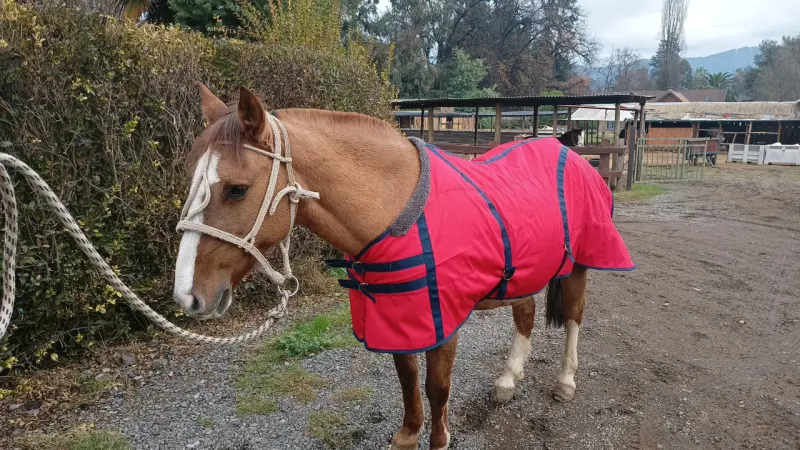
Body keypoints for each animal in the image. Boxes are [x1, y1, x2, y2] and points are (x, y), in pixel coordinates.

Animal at [173, 84, 634, 450]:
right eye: (191, 177)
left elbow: (436, 387)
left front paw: (438, 440)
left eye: (237, 189)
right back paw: (507, 380)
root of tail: (569, 150)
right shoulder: (396, 316)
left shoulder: (441, 319)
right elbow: (407, 379)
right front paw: (409, 435)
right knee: (525, 313)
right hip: (522, 272)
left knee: (573, 317)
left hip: (580, 267)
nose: (186, 295)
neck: (395, 210)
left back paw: (565, 381)